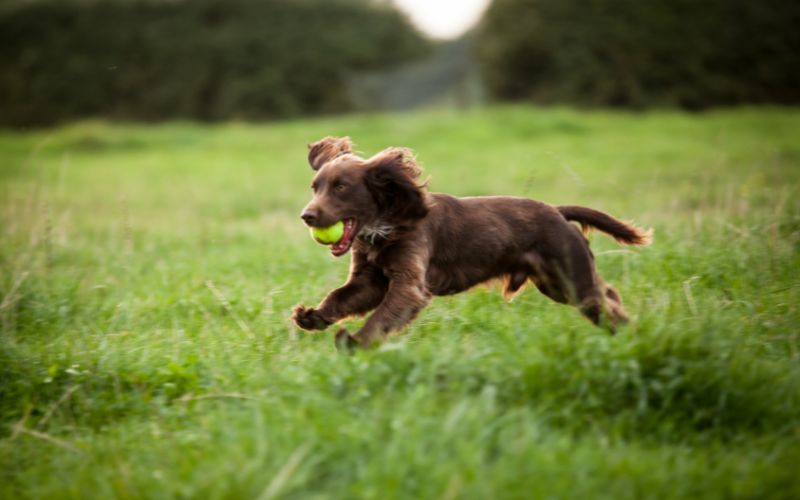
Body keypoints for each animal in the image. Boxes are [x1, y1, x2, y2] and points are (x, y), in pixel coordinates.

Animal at [290, 135, 652, 350]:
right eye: (315, 187)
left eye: (341, 187)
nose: (307, 216)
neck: (387, 224)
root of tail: (558, 212)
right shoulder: (370, 279)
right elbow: (340, 296)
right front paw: (313, 316)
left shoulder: (409, 284)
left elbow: (382, 316)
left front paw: (355, 341)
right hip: (556, 285)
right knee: (608, 294)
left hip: (571, 279)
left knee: (604, 301)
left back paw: (633, 336)